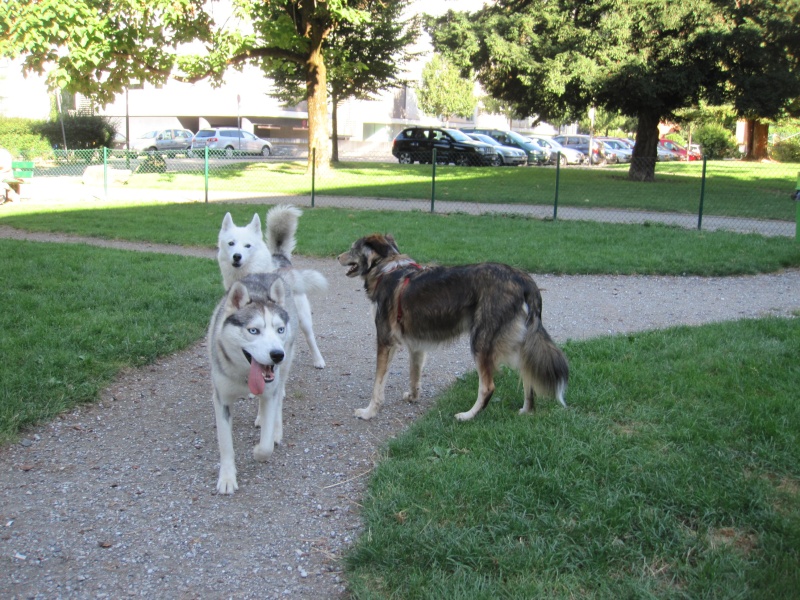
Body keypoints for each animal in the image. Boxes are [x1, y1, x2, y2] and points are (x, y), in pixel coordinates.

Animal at [217, 204, 326, 368]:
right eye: (231, 243)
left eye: (247, 246)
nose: (237, 256)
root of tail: (281, 257)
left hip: (303, 316)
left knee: (310, 337)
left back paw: (318, 360)